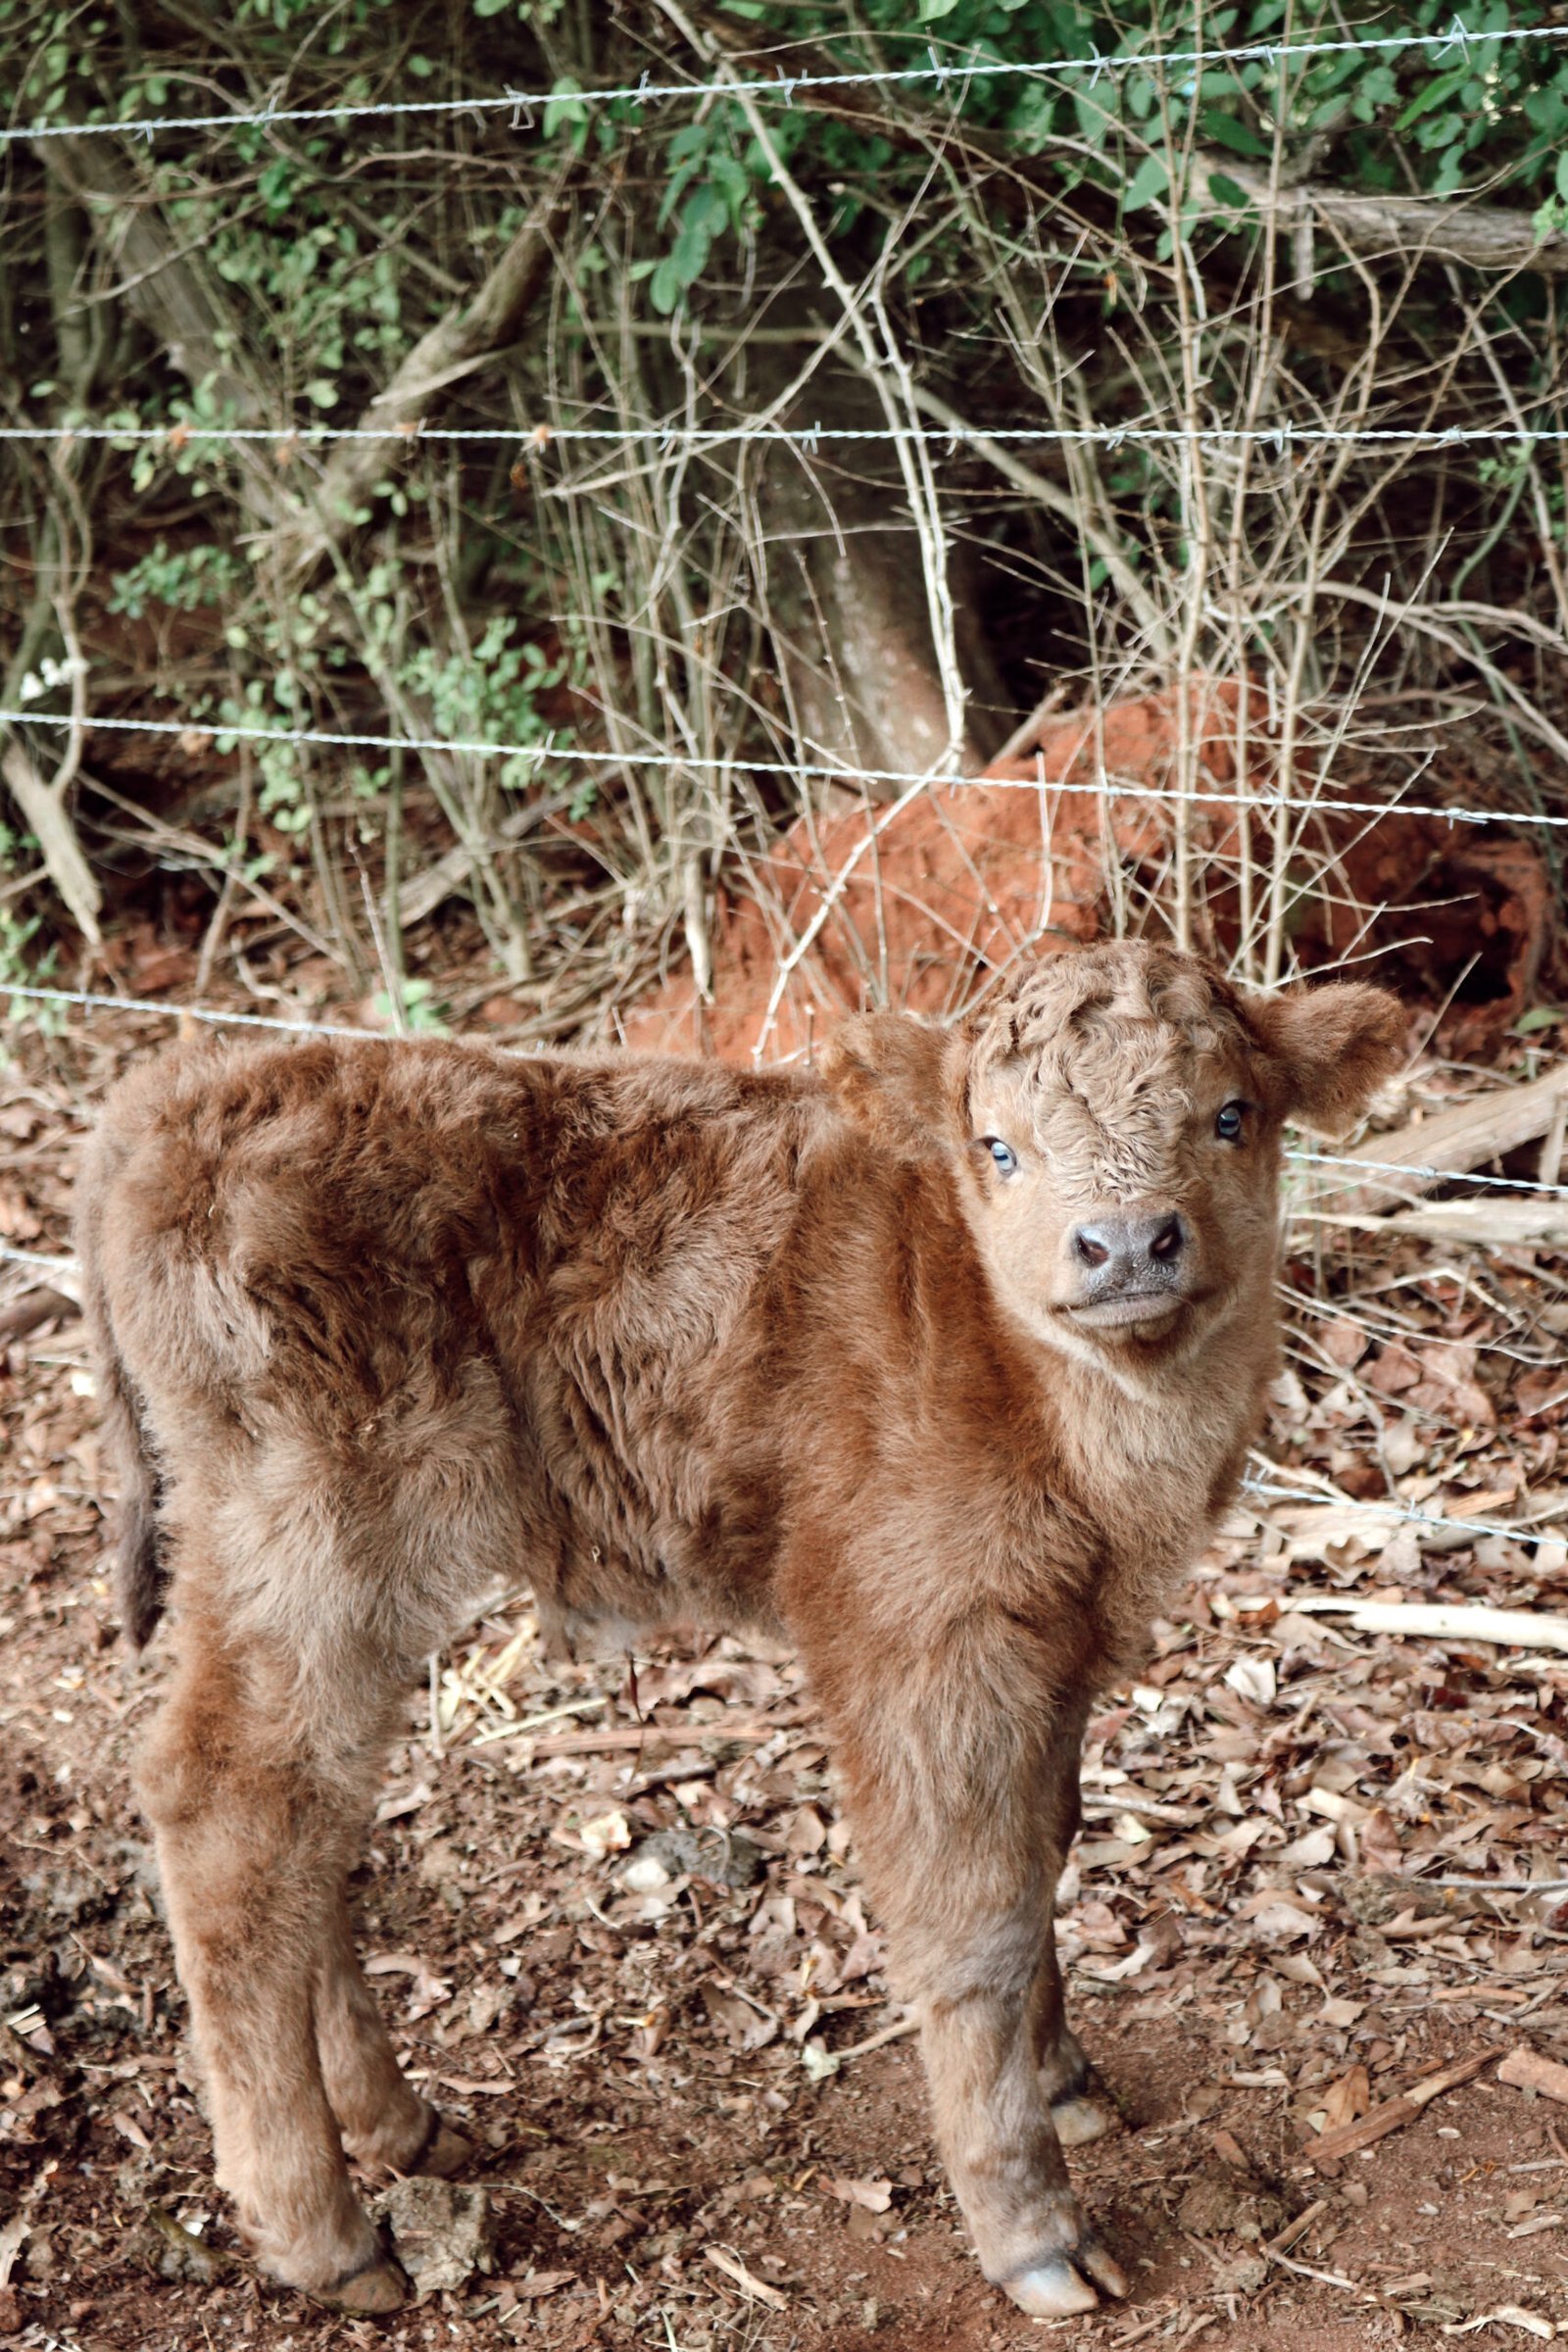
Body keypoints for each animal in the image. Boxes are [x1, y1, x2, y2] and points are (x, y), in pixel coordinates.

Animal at [76, 939, 1402, 2318]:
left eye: (1231, 1116)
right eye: (998, 1145)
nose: (1127, 1243)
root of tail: (171, 1102)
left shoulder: (1058, 1645)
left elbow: (1044, 1849)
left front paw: (1066, 2081)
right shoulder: (923, 1651)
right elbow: (971, 1918)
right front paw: (1035, 2231)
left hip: (331, 1600)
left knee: (315, 1818)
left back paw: (403, 2129)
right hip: (310, 1551)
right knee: (229, 1813)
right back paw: (328, 2236)